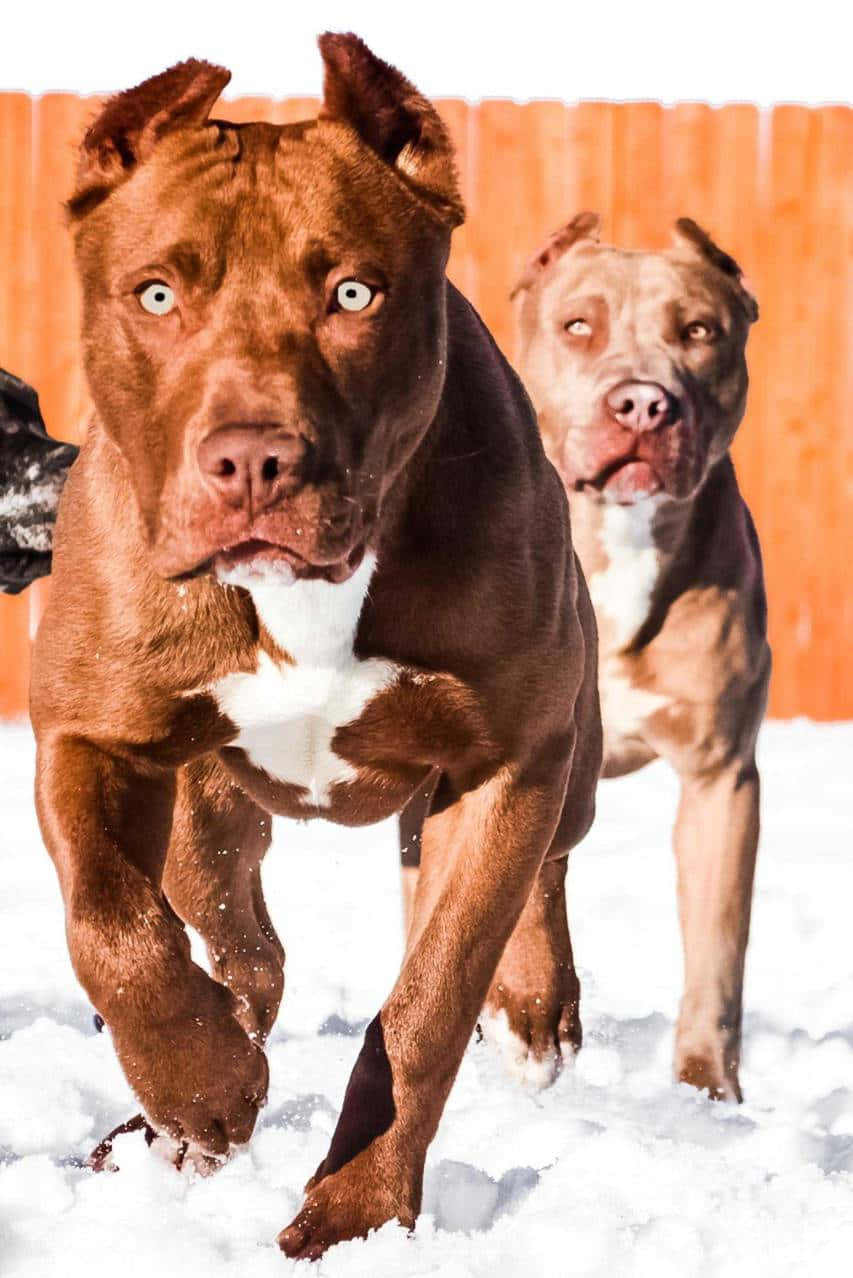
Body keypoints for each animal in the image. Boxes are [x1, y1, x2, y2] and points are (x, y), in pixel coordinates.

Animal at [31, 34, 601, 1252]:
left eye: (351, 292)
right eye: (157, 293)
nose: (254, 459)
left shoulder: (502, 766)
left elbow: (430, 999)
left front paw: (359, 1208)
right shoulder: (92, 737)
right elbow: (110, 926)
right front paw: (202, 1089)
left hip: (558, 768)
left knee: (541, 874)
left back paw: (533, 1008)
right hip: (203, 815)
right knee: (241, 947)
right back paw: (173, 1122)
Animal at [511, 214, 772, 1104]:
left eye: (698, 331)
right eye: (576, 326)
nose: (642, 402)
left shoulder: (720, 777)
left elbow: (717, 954)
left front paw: (705, 1090)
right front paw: (532, 1017)